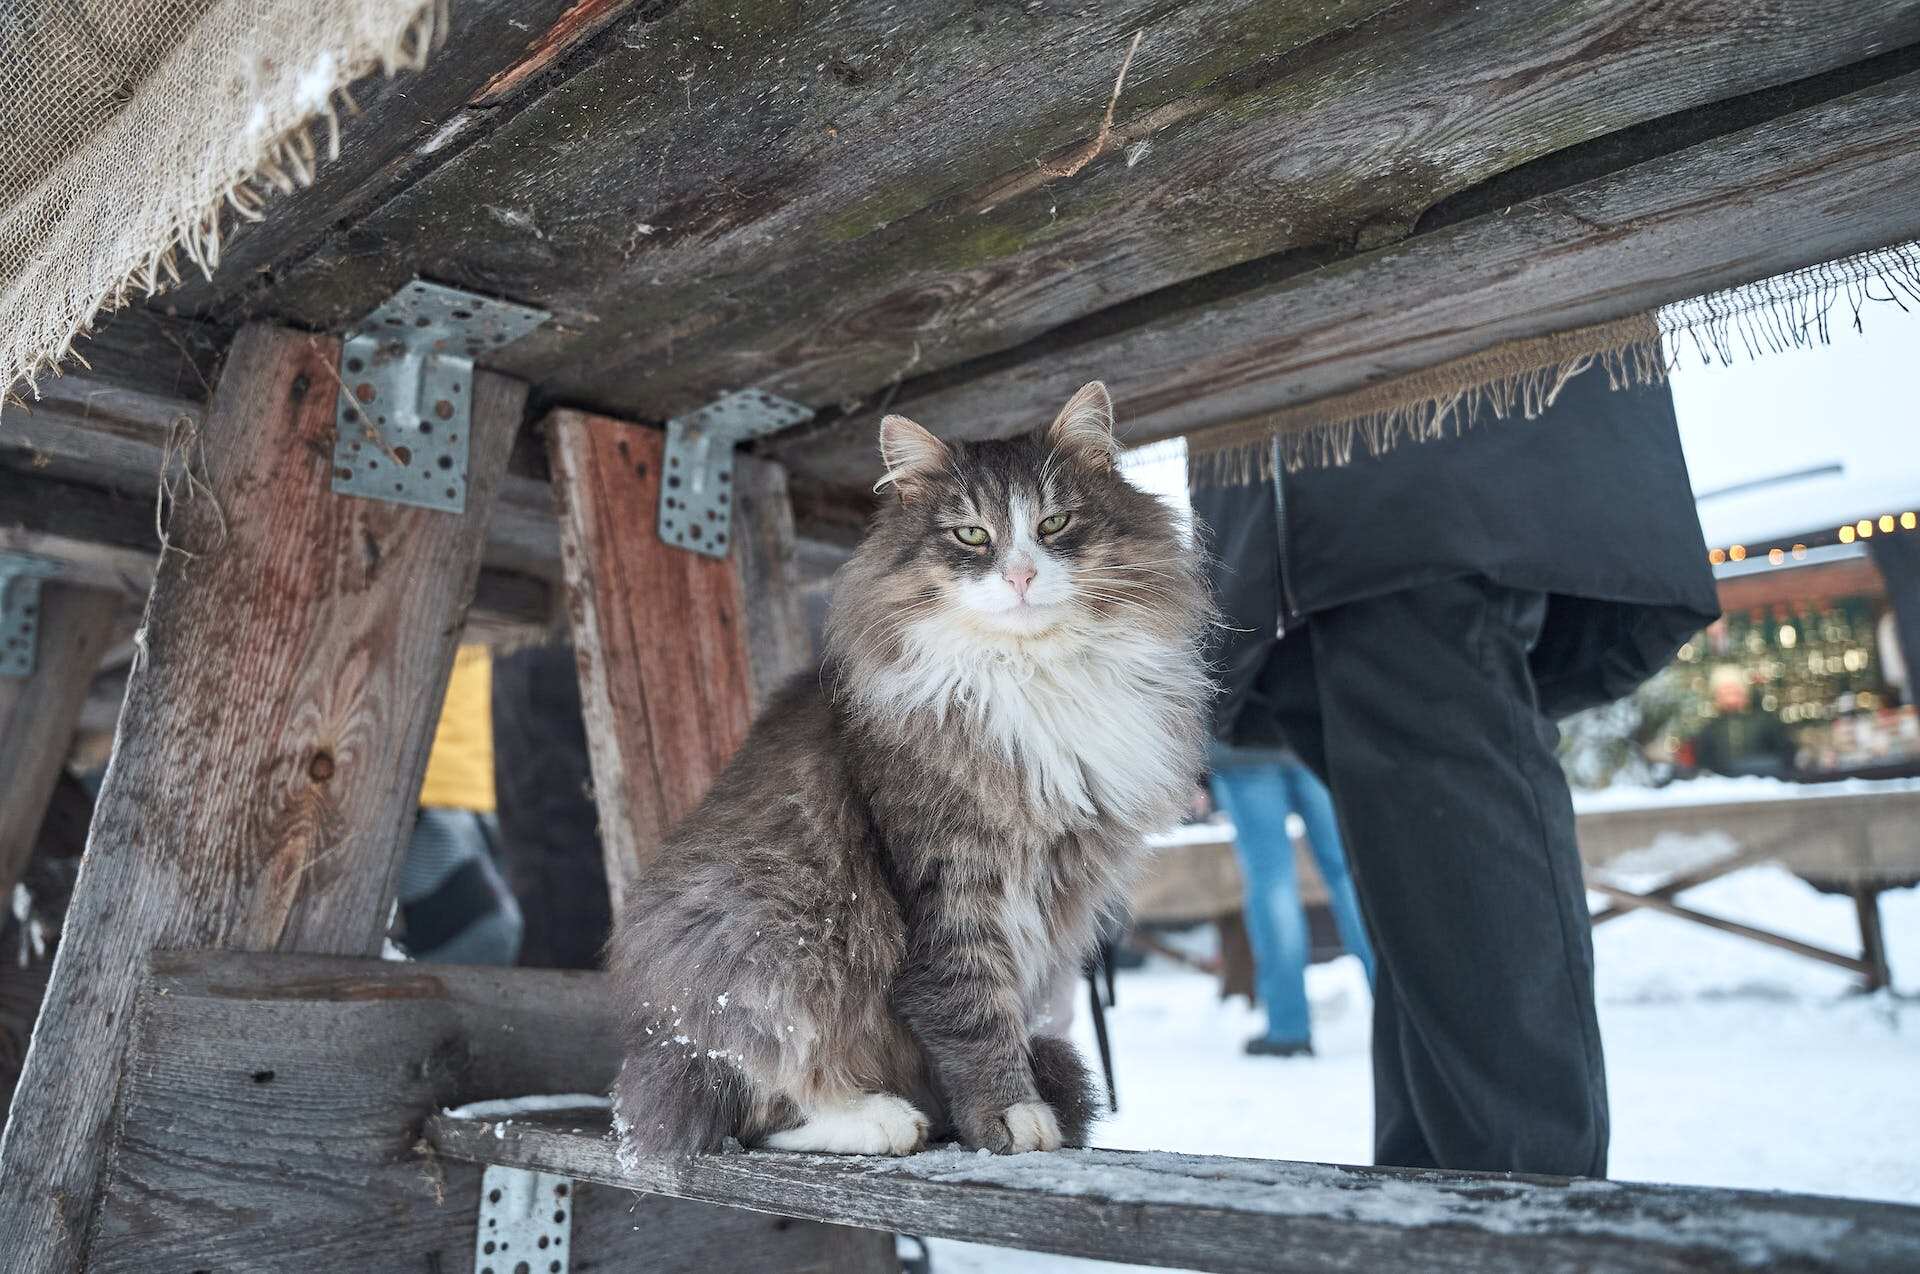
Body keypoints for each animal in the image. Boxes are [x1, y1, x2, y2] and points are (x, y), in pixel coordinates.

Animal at [614, 383, 1205, 1158]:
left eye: (1054, 523)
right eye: (972, 536)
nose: (1020, 575)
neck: (1028, 674)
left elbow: (1011, 1010)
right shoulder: (947, 875)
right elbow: (972, 1009)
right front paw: (1011, 1116)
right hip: (766, 937)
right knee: (751, 1107)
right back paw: (881, 1118)